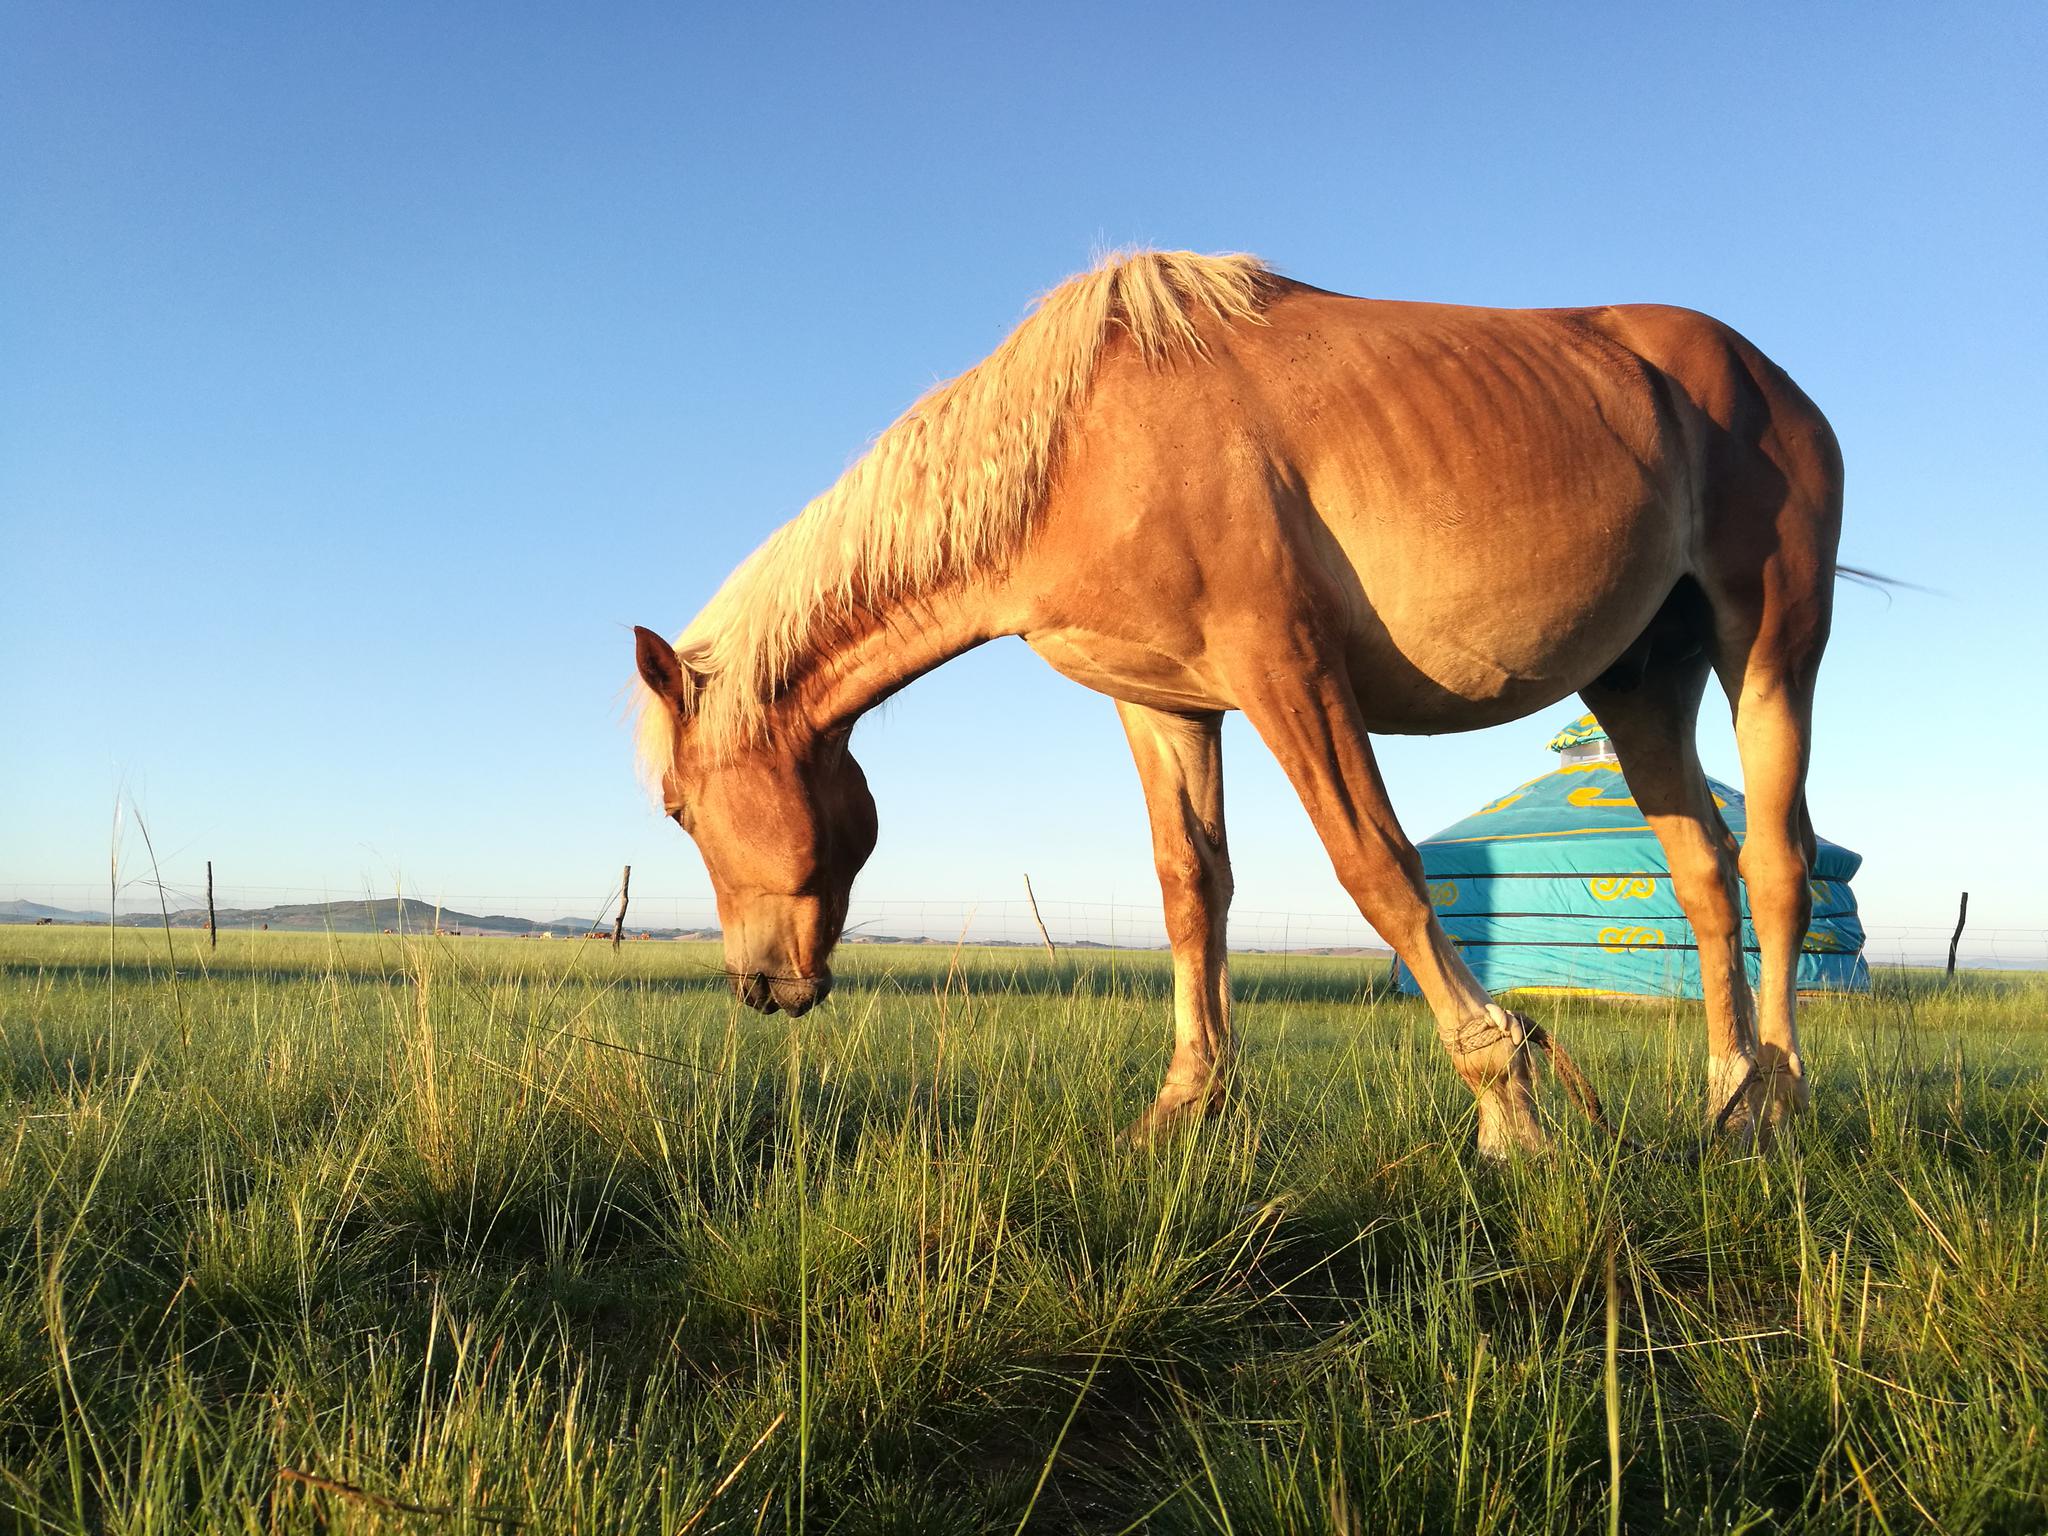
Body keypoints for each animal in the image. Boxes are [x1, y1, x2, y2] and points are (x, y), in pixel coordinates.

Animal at [631, 251, 1844, 1157]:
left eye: (680, 810)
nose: (757, 986)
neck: (1075, 452)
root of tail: (1767, 377)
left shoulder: (1286, 670)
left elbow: (1377, 867)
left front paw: (1507, 1104)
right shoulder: (1165, 706)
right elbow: (1190, 890)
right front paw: (1184, 1106)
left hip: (1770, 645)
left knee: (1778, 863)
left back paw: (1775, 1107)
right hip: (1640, 681)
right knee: (1704, 873)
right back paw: (1726, 1095)